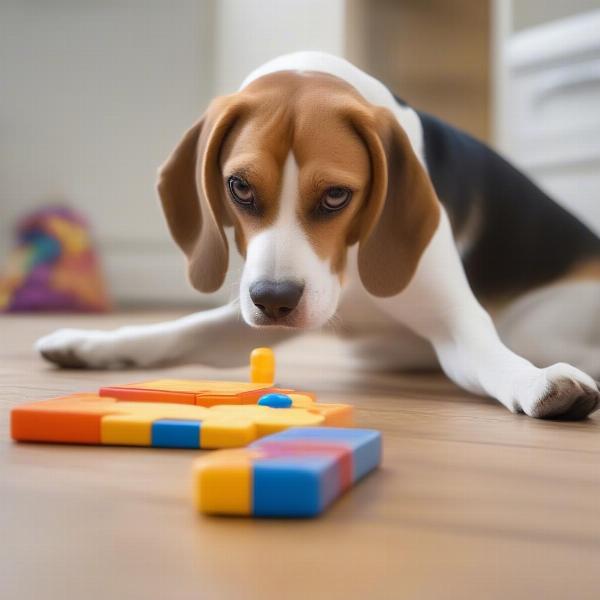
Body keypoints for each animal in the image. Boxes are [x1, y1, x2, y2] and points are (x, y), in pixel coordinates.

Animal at [37, 51, 600, 420]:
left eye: (335, 196)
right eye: (239, 187)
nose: (274, 300)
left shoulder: (456, 326)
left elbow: (493, 359)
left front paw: (538, 382)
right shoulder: (253, 317)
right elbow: (181, 331)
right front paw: (89, 343)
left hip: (538, 325)